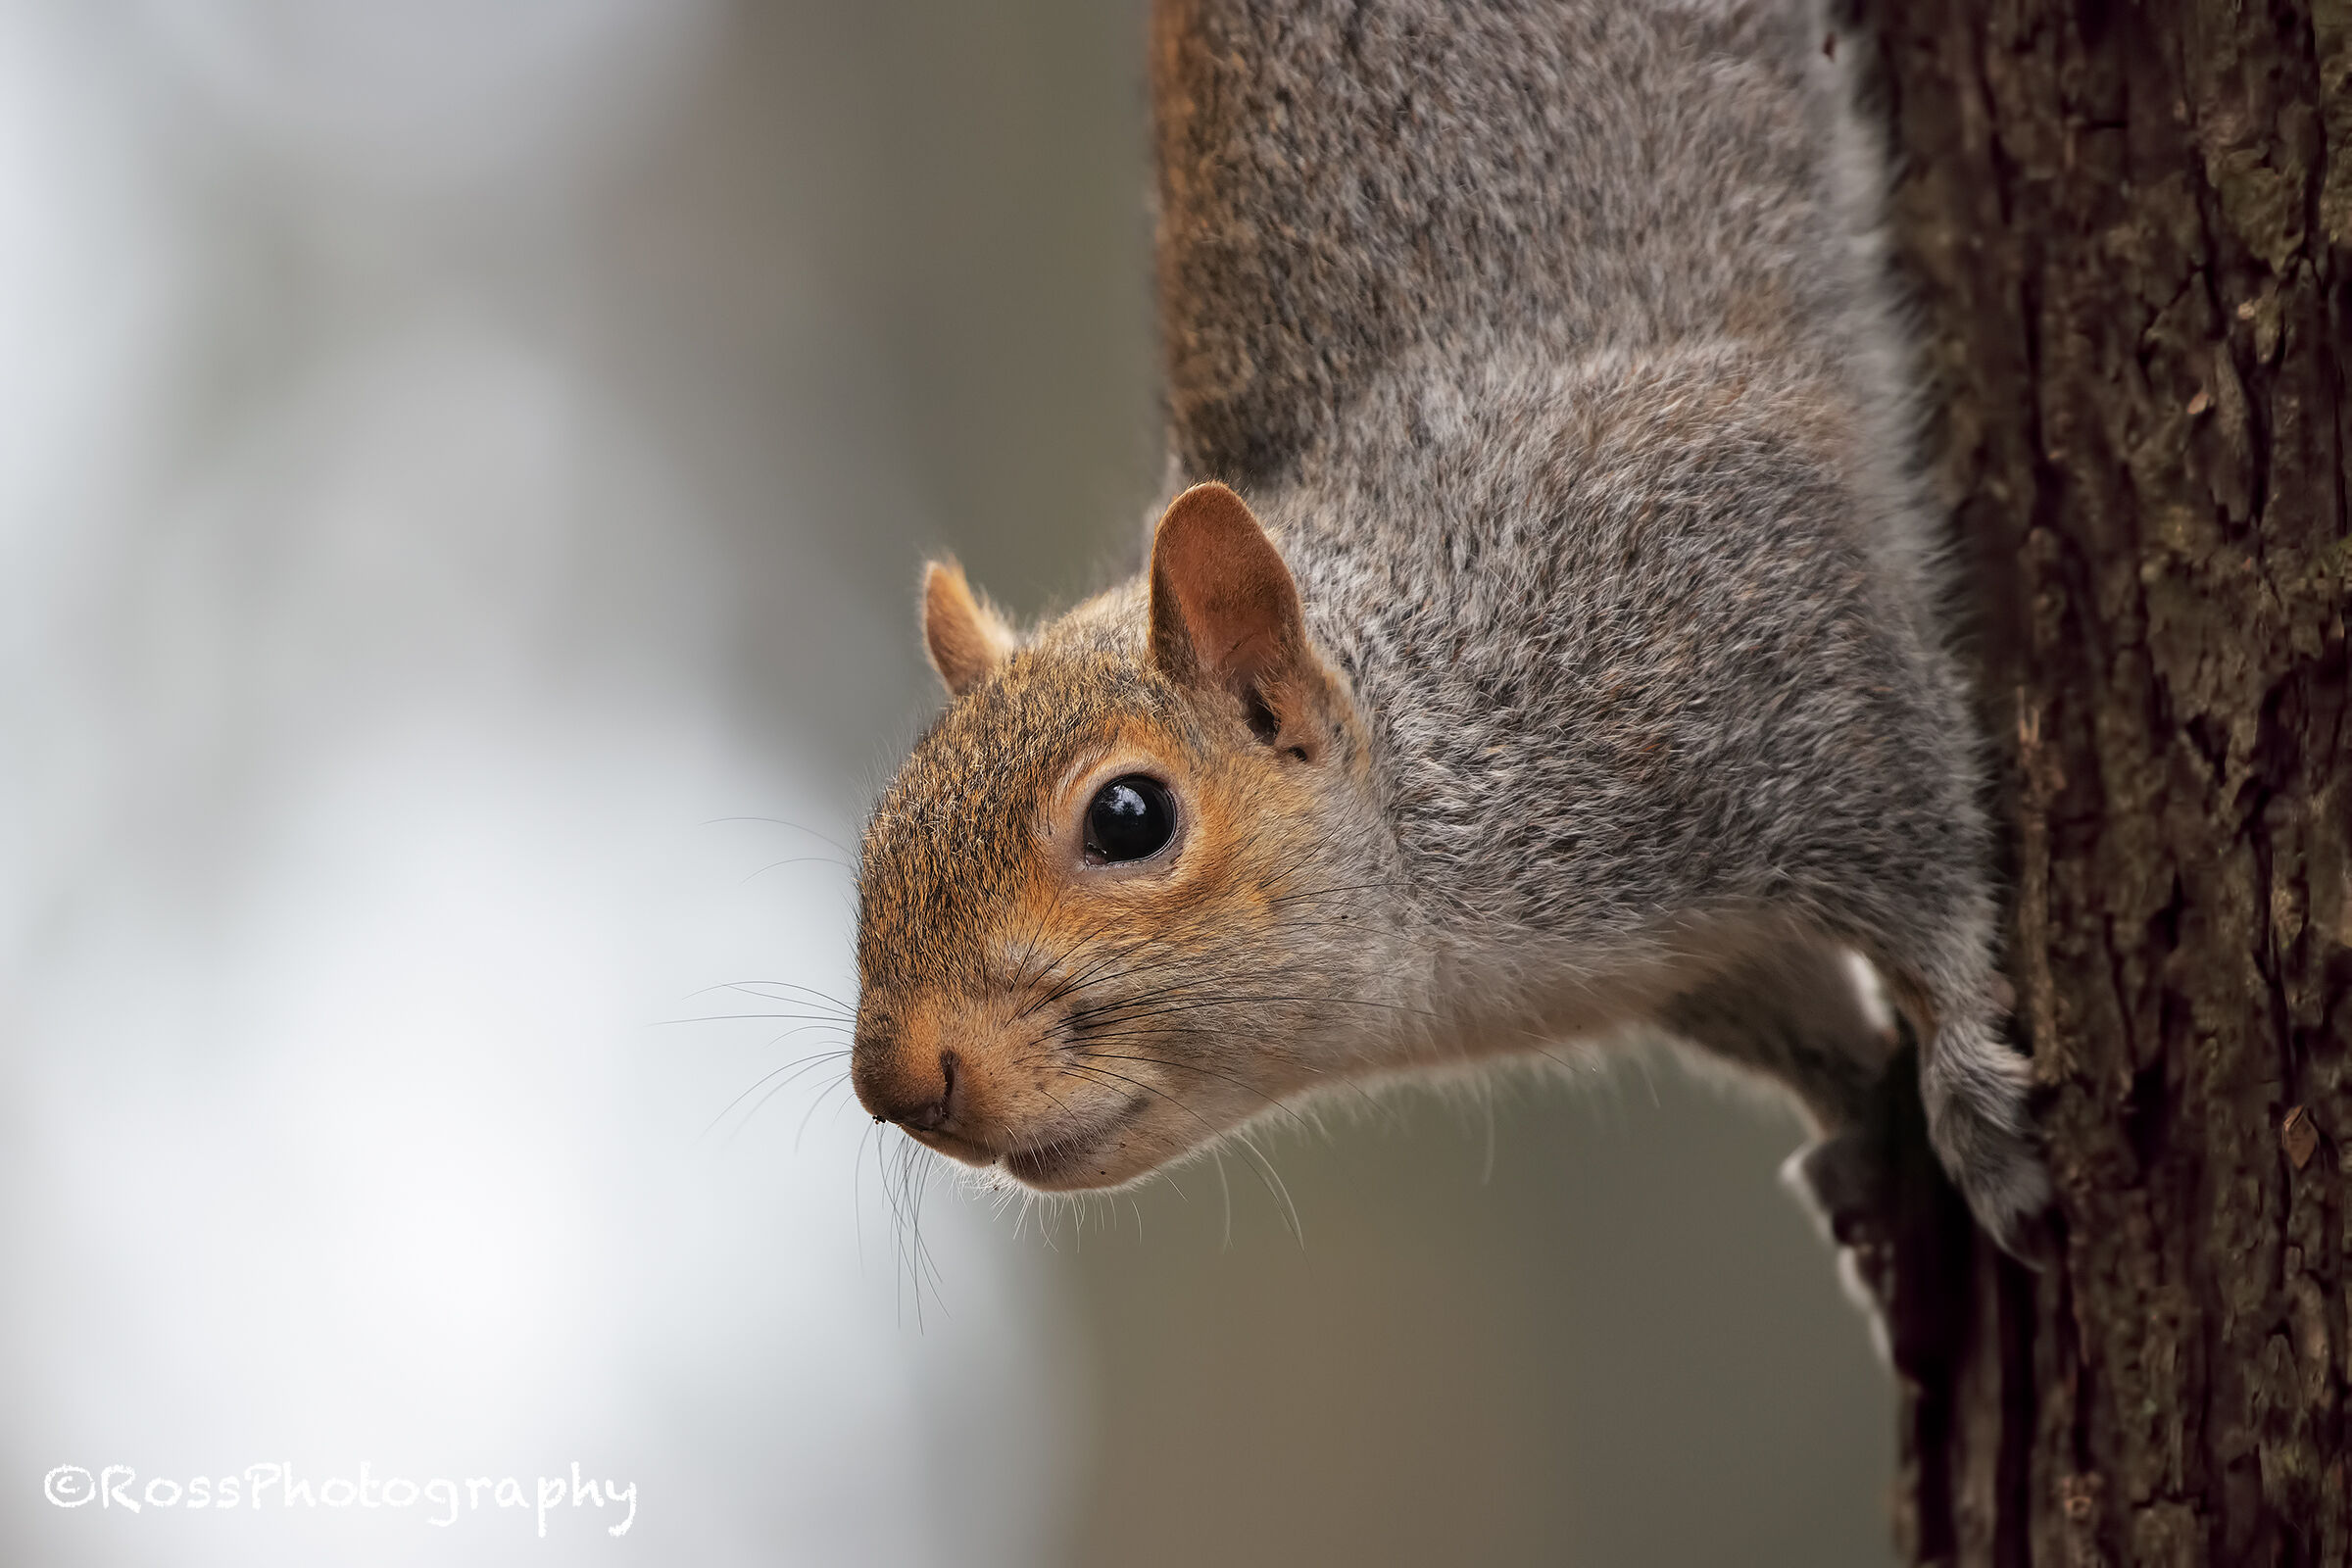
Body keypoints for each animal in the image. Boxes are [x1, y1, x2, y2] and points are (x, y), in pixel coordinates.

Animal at [849, 0, 2048, 1252]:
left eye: (1129, 816)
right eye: (878, 835)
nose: (899, 1084)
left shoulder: (1745, 601)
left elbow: (1919, 855)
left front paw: (1966, 1080)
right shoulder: (1703, 960)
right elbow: (1808, 1020)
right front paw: (1863, 1128)